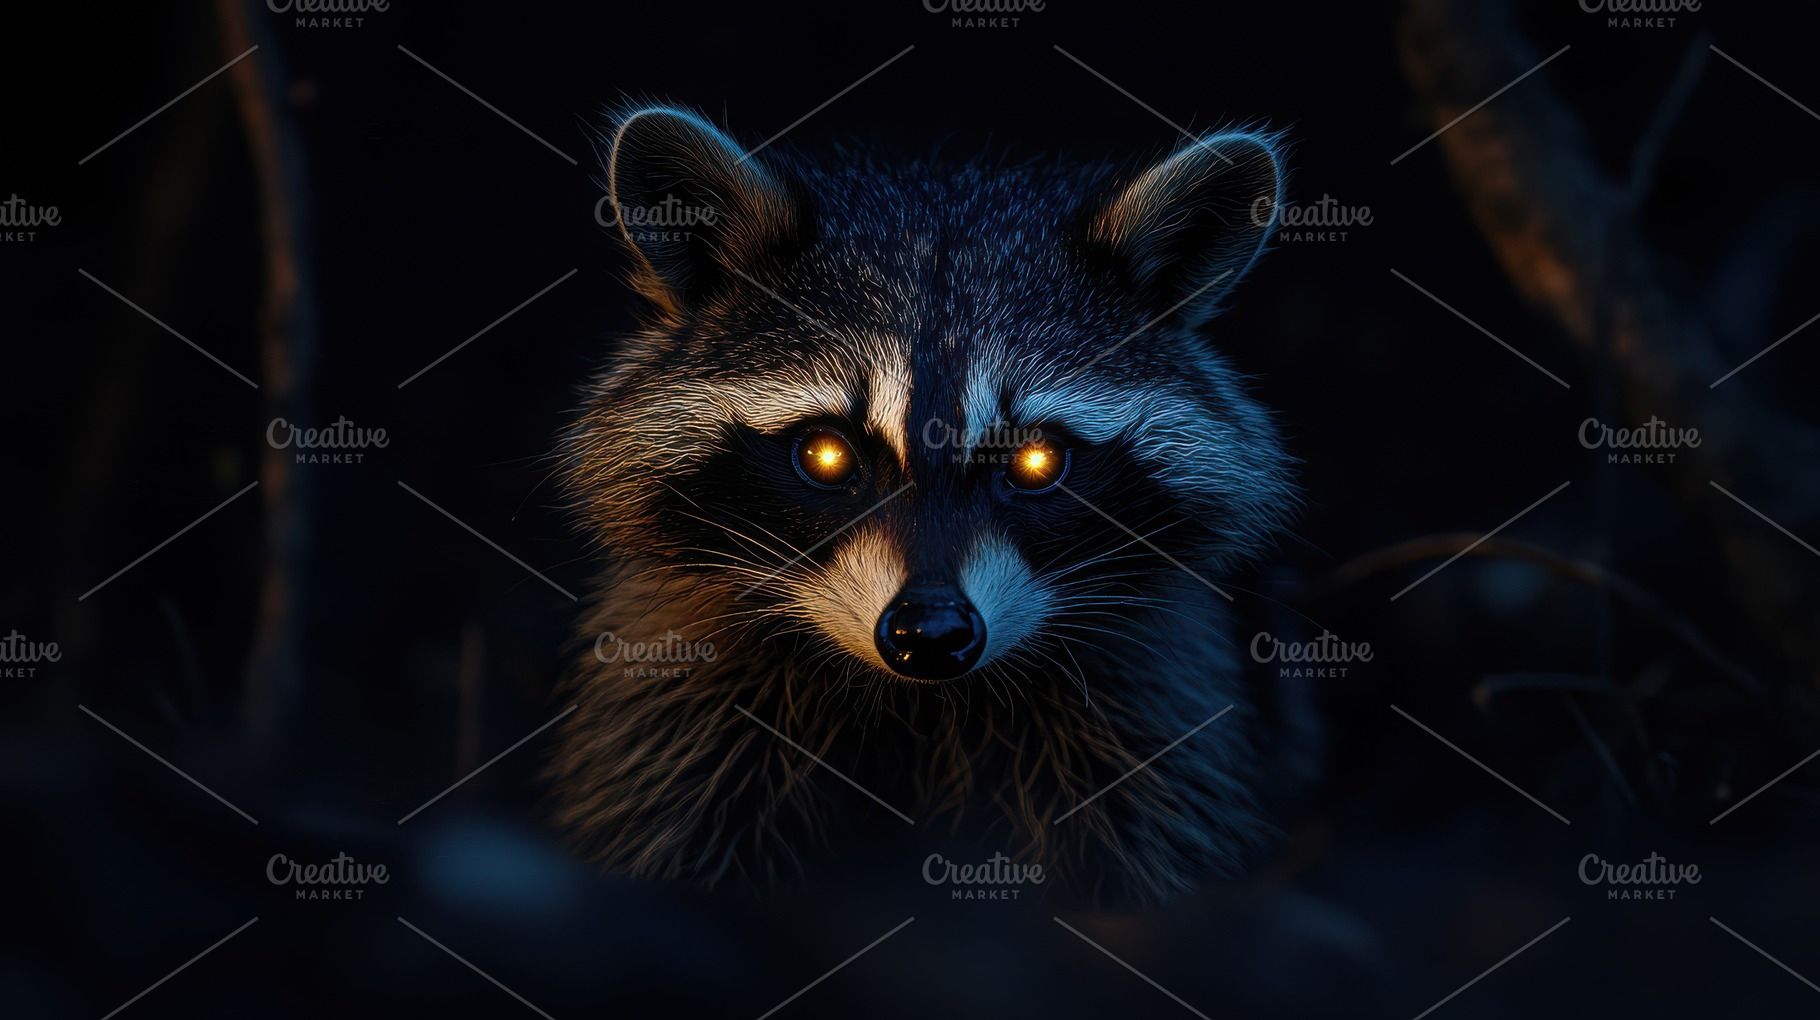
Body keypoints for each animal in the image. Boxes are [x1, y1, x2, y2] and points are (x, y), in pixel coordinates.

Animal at [548, 105, 1297, 904]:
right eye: (827, 455)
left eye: (1036, 461)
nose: (931, 632)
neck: (920, 705)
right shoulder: (679, 709)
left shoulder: (1152, 712)